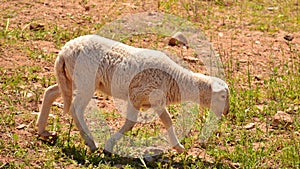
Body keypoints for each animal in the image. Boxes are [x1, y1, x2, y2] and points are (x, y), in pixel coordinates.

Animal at [35, 34, 230, 153]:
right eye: (223, 96)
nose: (227, 112)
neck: (176, 80)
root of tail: (64, 51)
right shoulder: (143, 96)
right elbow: (148, 122)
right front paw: (179, 147)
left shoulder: (146, 100)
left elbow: (142, 122)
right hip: (85, 82)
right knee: (76, 110)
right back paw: (91, 143)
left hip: (70, 79)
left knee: (50, 92)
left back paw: (43, 130)